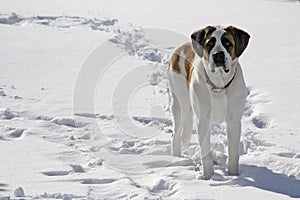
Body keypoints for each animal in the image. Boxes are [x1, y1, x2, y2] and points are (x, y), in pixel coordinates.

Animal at [168, 25, 250, 180]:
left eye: (227, 43)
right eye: (210, 44)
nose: (218, 55)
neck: (219, 85)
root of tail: (180, 49)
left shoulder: (234, 121)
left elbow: (233, 153)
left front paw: (234, 175)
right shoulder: (203, 120)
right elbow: (204, 152)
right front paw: (207, 177)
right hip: (179, 104)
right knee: (176, 135)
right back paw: (176, 159)